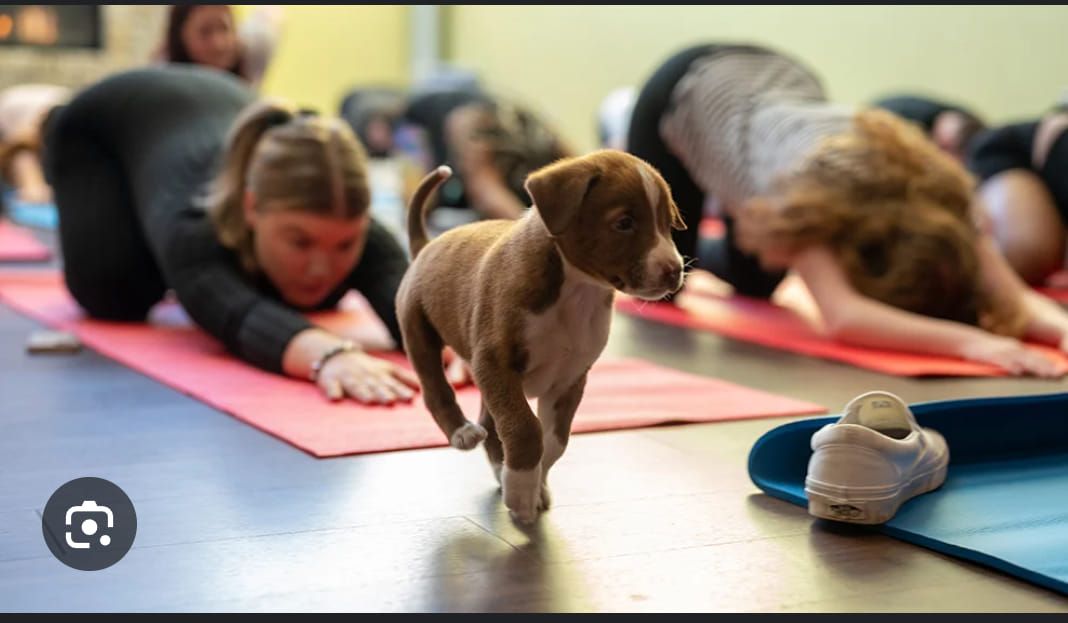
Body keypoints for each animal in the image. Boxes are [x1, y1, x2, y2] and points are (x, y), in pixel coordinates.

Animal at [397, 148, 687, 523]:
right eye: (624, 223)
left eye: (667, 223)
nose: (674, 270)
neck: (577, 290)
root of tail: (426, 244)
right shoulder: (496, 363)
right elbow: (525, 428)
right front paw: (521, 492)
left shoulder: (570, 377)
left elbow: (555, 441)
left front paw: (531, 485)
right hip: (418, 330)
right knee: (436, 390)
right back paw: (462, 432)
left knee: (491, 425)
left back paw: (500, 470)